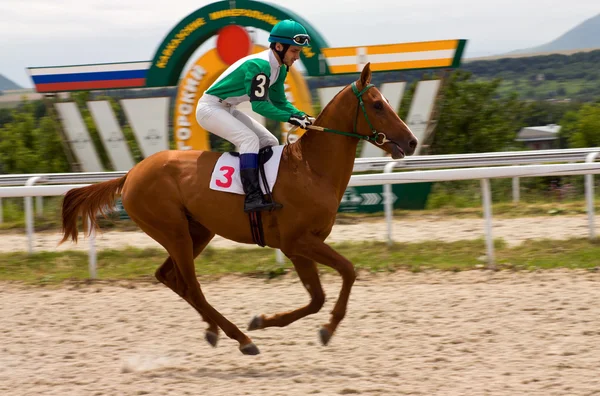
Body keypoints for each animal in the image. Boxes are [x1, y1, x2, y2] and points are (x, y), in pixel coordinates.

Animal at [61, 65, 418, 356]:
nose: (412, 142)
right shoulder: (297, 241)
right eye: (377, 104)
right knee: (191, 286)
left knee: (171, 277)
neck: (311, 169)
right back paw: (241, 338)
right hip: (174, 233)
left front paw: (266, 320)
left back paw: (216, 330)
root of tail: (131, 174)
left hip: (197, 231)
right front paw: (325, 329)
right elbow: (347, 271)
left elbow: (317, 297)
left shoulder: (301, 246)